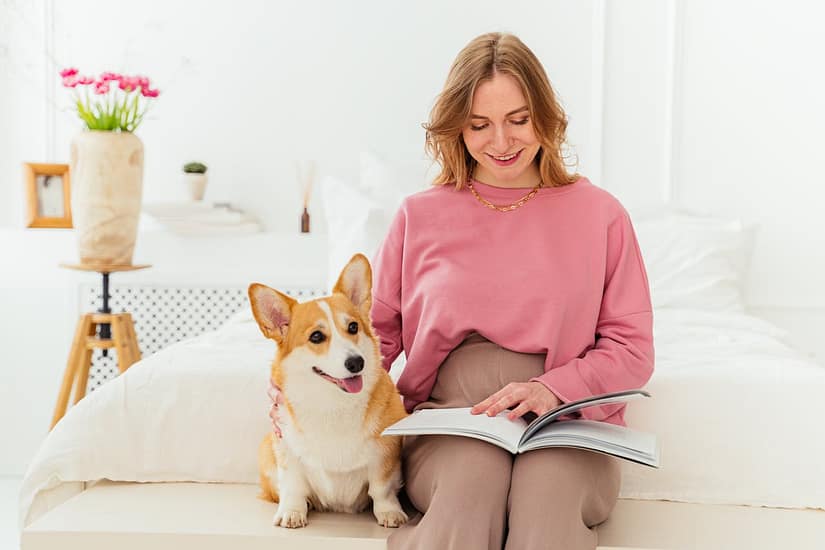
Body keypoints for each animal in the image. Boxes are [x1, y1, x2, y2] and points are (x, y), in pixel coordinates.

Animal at [248, 254, 408, 532]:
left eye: (353, 327)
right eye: (316, 336)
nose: (356, 362)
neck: (333, 402)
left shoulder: (385, 453)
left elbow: (382, 490)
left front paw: (390, 513)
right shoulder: (285, 447)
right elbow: (293, 486)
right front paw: (292, 512)